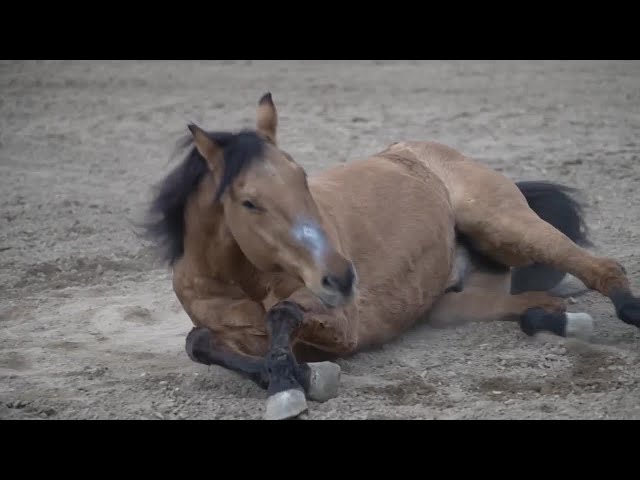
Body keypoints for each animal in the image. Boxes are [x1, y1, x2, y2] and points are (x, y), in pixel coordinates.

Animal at [144, 92, 640, 418]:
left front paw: (294, 384)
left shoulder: (340, 321)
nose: (342, 277)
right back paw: (563, 321)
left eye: (302, 177)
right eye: (249, 202)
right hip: (455, 304)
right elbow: (200, 342)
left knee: (602, 268)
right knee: (534, 304)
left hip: (505, 224)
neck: (241, 279)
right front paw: (292, 377)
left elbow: (281, 314)